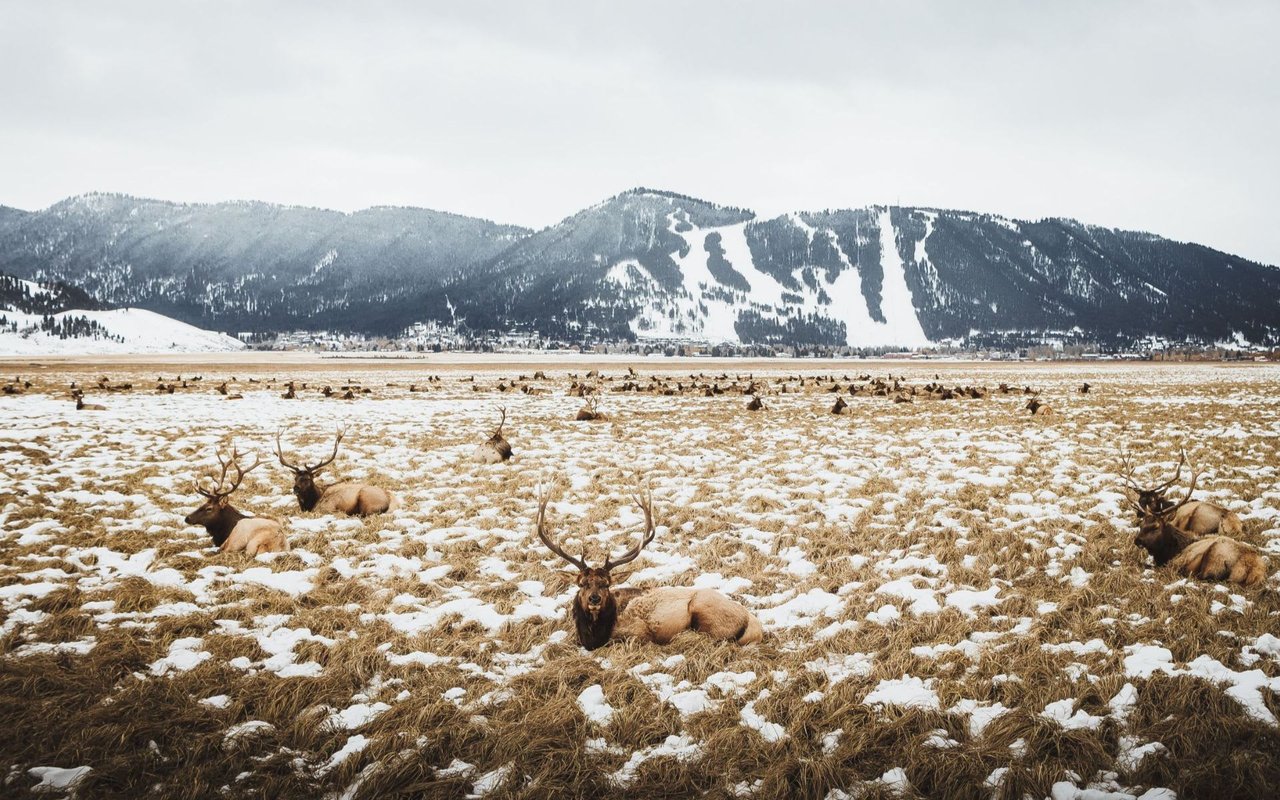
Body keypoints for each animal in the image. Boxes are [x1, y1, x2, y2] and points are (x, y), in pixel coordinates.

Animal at [537, 486, 762, 650]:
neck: (593, 636)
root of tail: (755, 624)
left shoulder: (638, 631)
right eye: (582, 584)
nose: (594, 599)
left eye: (606, 584)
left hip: (705, 611)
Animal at [1131, 460, 1269, 586]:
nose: (1137, 540)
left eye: (1155, 527)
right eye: (1141, 525)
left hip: (1214, 556)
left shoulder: (1173, 563)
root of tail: (1251, 569)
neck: (1171, 551)